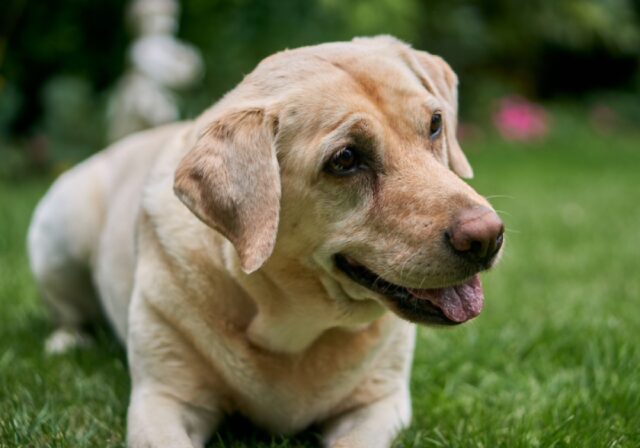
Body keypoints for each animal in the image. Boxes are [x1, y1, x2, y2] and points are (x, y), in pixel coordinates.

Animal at [26, 36, 504, 446]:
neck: (293, 330)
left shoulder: (380, 403)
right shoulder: (162, 400)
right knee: (66, 311)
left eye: (436, 124)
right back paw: (65, 343)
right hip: (60, 232)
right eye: (346, 159)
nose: (487, 237)